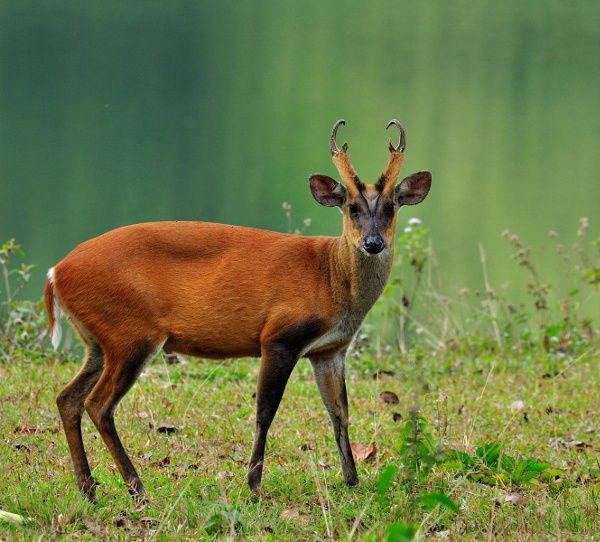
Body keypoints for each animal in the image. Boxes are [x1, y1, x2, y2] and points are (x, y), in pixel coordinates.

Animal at [47, 120, 432, 502]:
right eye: (352, 206)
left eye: (391, 207)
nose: (373, 243)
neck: (330, 277)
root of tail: (56, 273)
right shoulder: (279, 336)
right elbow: (265, 412)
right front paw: (254, 484)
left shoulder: (330, 350)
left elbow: (339, 412)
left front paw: (352, 480)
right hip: (131, 333)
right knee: (99, 404)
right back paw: (137, 489)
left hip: (99, 341)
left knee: (68, 398)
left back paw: (88, 488)